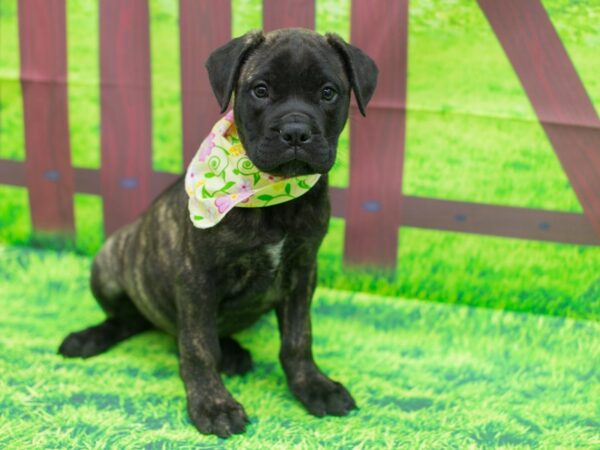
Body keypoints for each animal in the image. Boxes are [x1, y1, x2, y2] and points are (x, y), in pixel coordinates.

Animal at [58, 29, 378, 438]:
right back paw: (89, 338)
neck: (272, 195)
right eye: (260, 90)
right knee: (130, 321)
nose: (295, 132)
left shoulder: (303, 270)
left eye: (328, 92)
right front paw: (213, 405)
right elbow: (198, 347)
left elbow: (298, 338)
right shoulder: (196, 277)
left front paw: (314, 386)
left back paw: (234, 353)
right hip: (109, 262)